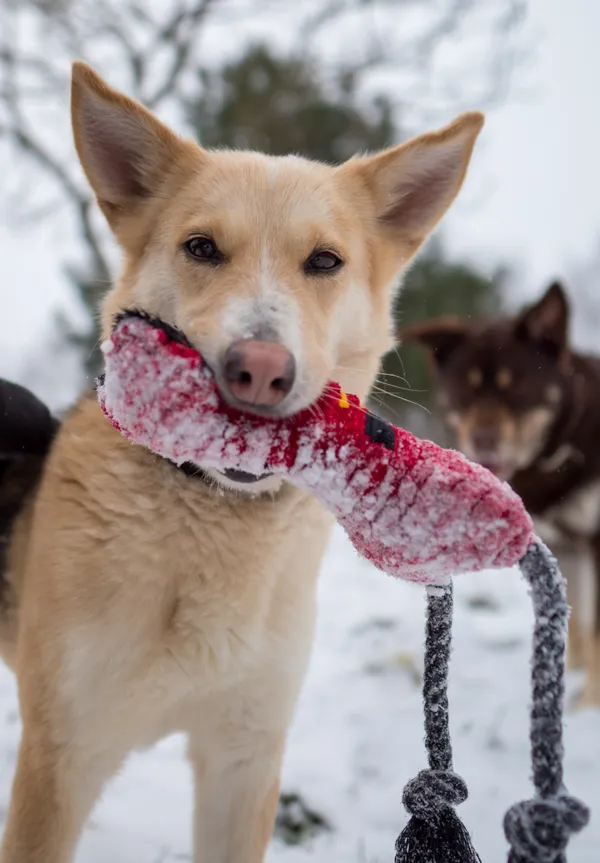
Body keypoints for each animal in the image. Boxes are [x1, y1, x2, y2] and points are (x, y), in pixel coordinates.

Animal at [0, 62, 482, 863]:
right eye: (201, 248)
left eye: (325, 261)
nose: (259, 370)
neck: (214, 518)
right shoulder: (61, 760)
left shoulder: (245, 759)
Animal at [400, 284, 600, 708]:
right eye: (465, 390)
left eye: (516, 387)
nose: (483, 438)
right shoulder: (566, 547)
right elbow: (575, 622)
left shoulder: (595, 544)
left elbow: (594, 630)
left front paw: (589, 702)